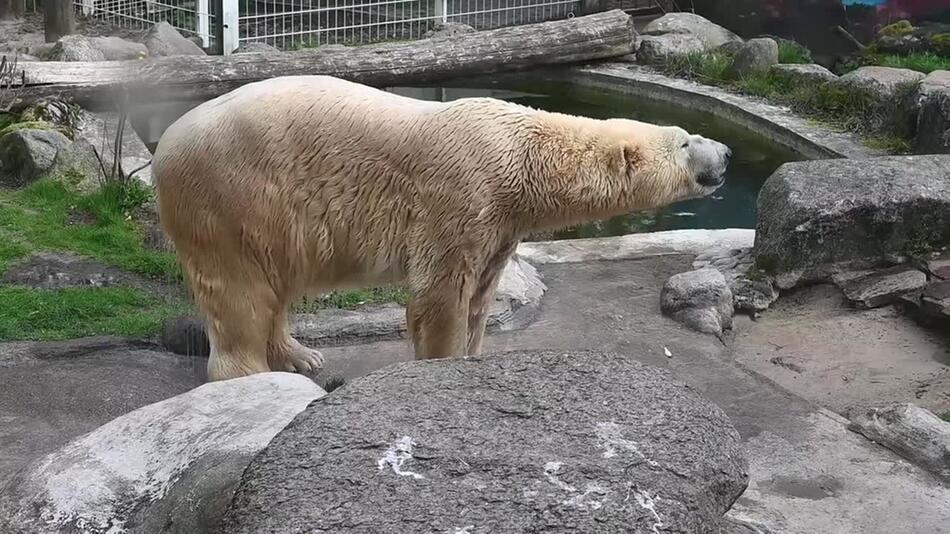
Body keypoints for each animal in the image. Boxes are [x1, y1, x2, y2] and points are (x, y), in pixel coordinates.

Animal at [156, 77, 732, 384]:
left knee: (276, 284)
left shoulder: (500, 224)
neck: (523, 155)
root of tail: (164, 145)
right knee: (240, 293)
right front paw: (444, 366)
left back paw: (302, 355)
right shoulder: (461, 195)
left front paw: (475, 356)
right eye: (686, 141)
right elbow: (441, 294)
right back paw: (252, 377)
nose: (726, 152)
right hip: (230, 196)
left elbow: (481, 296)